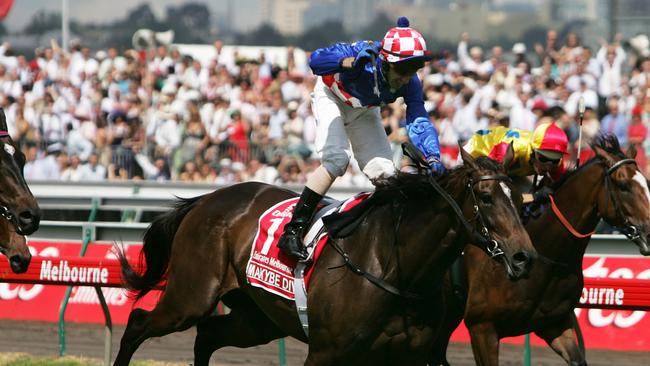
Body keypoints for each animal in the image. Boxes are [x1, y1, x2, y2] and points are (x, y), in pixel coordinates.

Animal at [114, 149, 536, 366]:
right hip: (190, 298)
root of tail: (206, 199)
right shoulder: (326, 352)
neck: (395, 267)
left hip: (258, 319)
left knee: (208, 335)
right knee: (137, 324)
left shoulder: (411, 357)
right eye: (486, 198)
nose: (524, 257)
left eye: (520, 199)